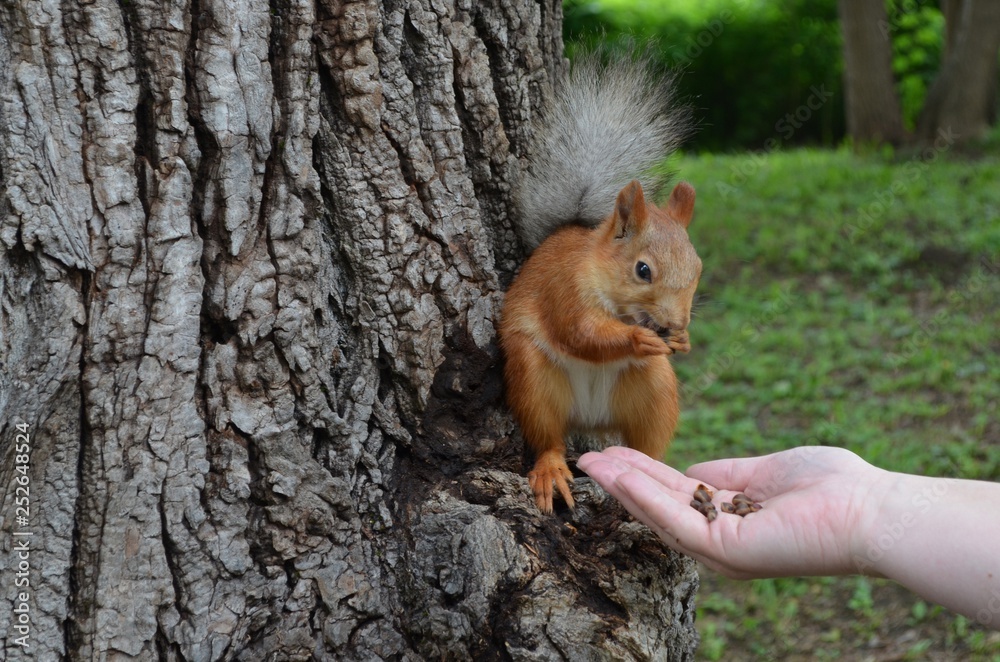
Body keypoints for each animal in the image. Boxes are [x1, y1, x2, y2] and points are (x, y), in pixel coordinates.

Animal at [499, 52, 702, 514]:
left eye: (698, 267)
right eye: (643, 270)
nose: (674, 323)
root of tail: (590, 417)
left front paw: (682, 341)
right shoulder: (564, 290)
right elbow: (581, 332)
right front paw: (638, 339)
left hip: (653, 390)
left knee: (647, 443)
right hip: (534, 379)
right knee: (548, 437)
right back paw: (551, 469)